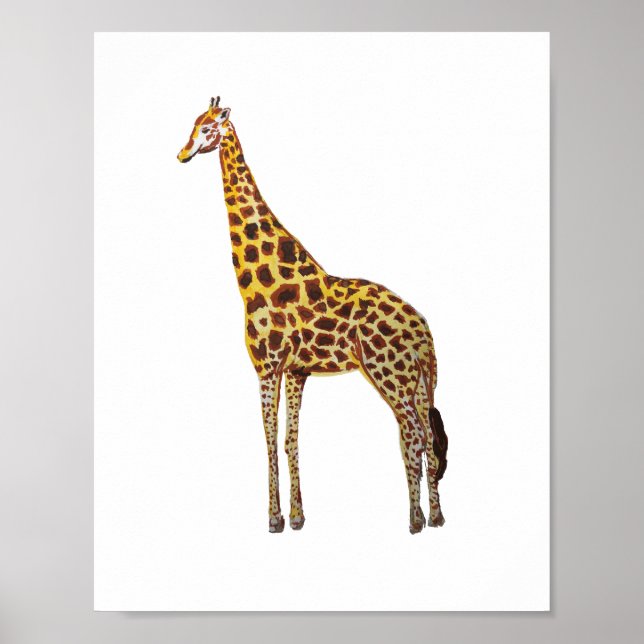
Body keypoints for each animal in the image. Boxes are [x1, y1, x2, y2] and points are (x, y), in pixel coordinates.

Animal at [177, 97, 448, 534]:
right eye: (193, 124)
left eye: (207, 128)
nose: (182, 154)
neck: (257, 279)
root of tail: (424, 329)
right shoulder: (296, 370)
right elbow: (291, 440)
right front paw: (298, 517)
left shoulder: (267, 366)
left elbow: (270, 440)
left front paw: (274, 519)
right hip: (419, 380)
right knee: (427, 436)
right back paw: (437, 517)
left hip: (389, 374)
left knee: (413, 436)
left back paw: (415, 520)